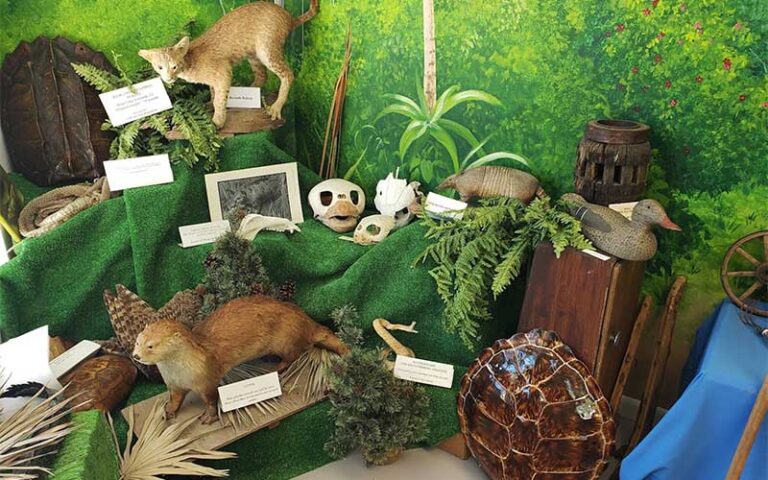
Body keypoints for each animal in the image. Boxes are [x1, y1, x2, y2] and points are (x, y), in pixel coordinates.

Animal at [133, 292, 348, 424]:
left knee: (296, 353)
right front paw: (168, 411)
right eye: (137, 341)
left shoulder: (207, 380)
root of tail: (305, 321)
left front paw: (209, 418)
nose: (135, 356)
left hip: (286, 339)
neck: (179, 372)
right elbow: (175, 399)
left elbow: (211, 401)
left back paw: (278, 367)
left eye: (151, 345)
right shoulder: (174, 385)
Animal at [138, 0, 318, 126]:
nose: (168, 78)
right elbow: (213, 94)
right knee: (262, 76)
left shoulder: (223, 72)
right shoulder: (215, 79)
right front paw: (211, 105)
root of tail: (288, 16)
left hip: (266, 50)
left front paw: (218, 120)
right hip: (253, 54)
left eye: (174, 66)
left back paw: (275, 107)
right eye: (160, 67)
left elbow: (219, 99)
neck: (189, 62)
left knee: (288, 74)